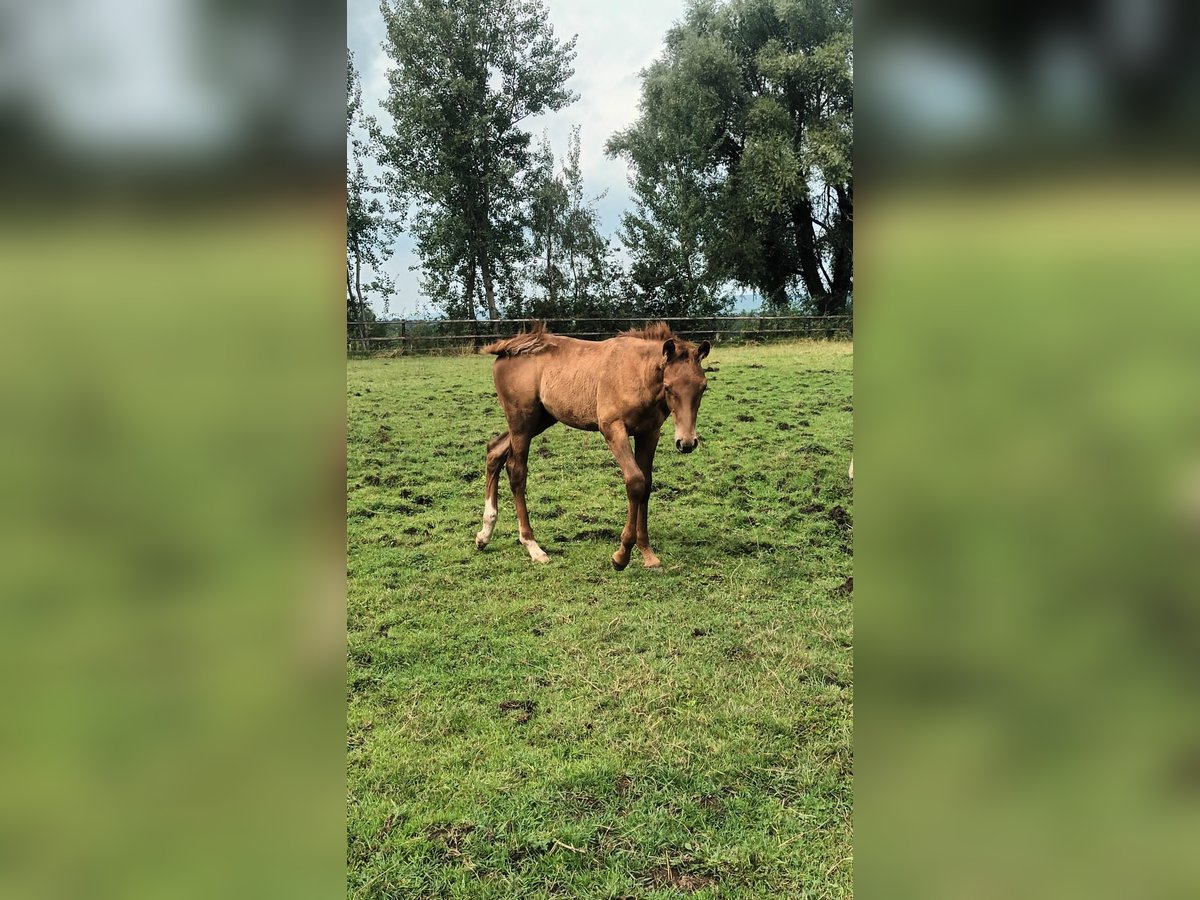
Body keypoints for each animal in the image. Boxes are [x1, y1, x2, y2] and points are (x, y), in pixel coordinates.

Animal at [472, 321, 705, 566]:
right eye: (668, 387)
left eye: (703, 387)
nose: (686, 443)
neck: (638, 372)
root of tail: (507, 349)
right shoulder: (613, 428)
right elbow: (635, 481)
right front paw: (622, 555)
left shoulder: (649, 433)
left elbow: (647, 484)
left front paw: (647, 553)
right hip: (522, 423)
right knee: (516, 472)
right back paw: (532, 545)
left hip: (540, 420)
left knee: (494, 450)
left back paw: (484, 534)